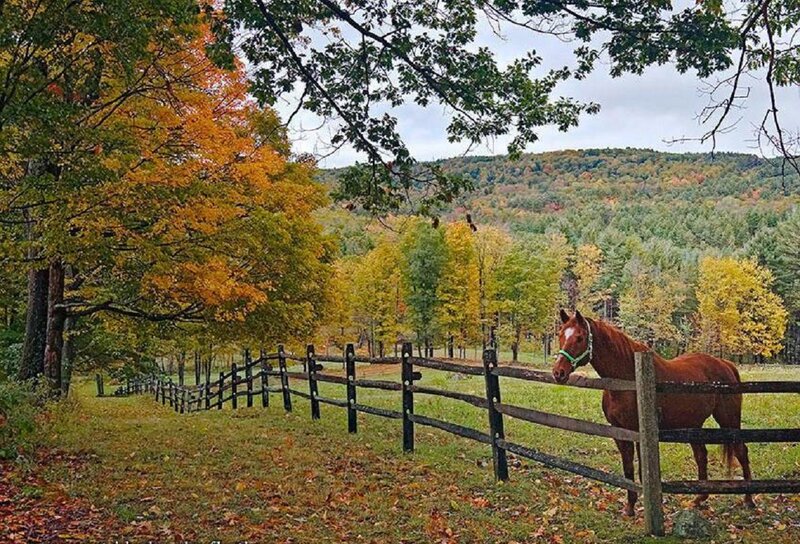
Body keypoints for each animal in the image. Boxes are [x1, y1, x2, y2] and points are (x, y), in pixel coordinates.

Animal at [551, 309, 754, 516]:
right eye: (560, 335)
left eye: (580, 337)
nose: (558, 372)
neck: (627, 380)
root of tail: (726, 364)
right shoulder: (618, 431)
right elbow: (628, 469)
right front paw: (630, 507)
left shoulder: (638, 433)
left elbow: (642, 472)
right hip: (693, 425)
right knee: (701, 456)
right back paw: (699, 499)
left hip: (729, 420)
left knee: (741, 451)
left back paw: (748, 499)